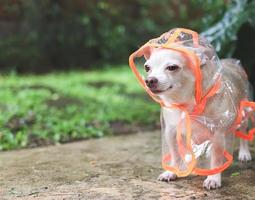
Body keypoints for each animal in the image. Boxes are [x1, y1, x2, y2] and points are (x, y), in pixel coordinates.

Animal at [143, 41, 253, 189]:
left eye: (172, 67)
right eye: (147, 67)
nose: (149, 80)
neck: (186, 103)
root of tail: (232, 62)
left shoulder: (217, 134)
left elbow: (216, 159)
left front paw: (213, 178)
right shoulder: (171, 131)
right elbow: (175, 154)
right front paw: (172, 171)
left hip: (244, 113)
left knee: (243, 132)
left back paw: (244, 153)